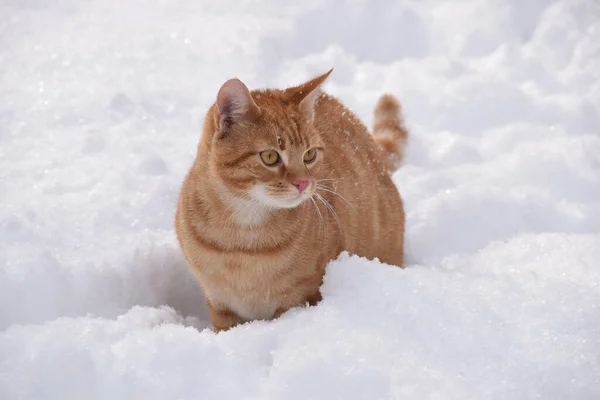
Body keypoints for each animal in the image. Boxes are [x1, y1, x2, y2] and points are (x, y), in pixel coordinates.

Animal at [173, 69, 408, 332]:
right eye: (270, 156)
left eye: (310, 155)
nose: (303, 183)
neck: (243, 240)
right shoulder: (220, 304)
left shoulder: (302, 296)